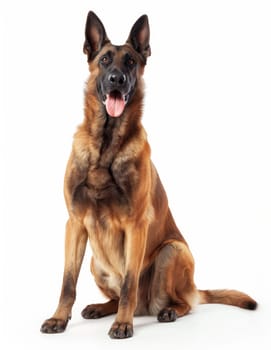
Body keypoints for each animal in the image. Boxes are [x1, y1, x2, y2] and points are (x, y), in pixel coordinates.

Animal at [40, 11, 258, 340]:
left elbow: (129, 283)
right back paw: (102, 307)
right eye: (105, 60)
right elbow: (67, 282)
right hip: (94, 261)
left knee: (180, 302)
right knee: (116, 295)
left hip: (173, 251)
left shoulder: (136, 226)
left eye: (130, 61)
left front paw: (123, 324)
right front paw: (59, 319)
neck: (106, 144)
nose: (117, 79)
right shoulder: (75, 223)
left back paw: (167, 311)